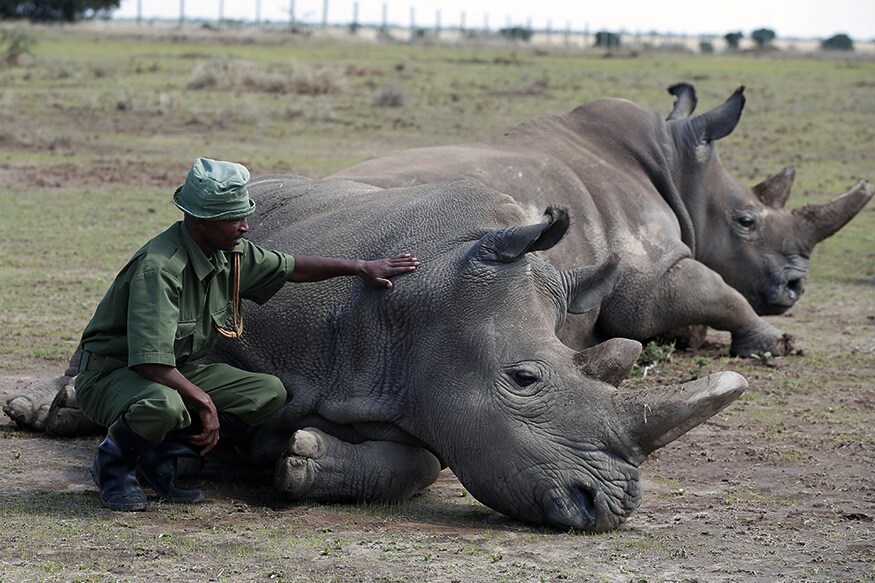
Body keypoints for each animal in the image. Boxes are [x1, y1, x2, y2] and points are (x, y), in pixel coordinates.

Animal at [5, 176, 744, 532]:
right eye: (524, 377)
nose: (612, 506)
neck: (431, 297)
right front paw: (223, 449)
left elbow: (420, 461)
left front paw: (299, 461)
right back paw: (47, 412)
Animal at [332, 82, 872, 356]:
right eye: (746, 221)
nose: (796, 286)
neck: (676, 163)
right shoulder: (649, 274)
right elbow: (717, 290)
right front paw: (775, 344)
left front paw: (692, 337)